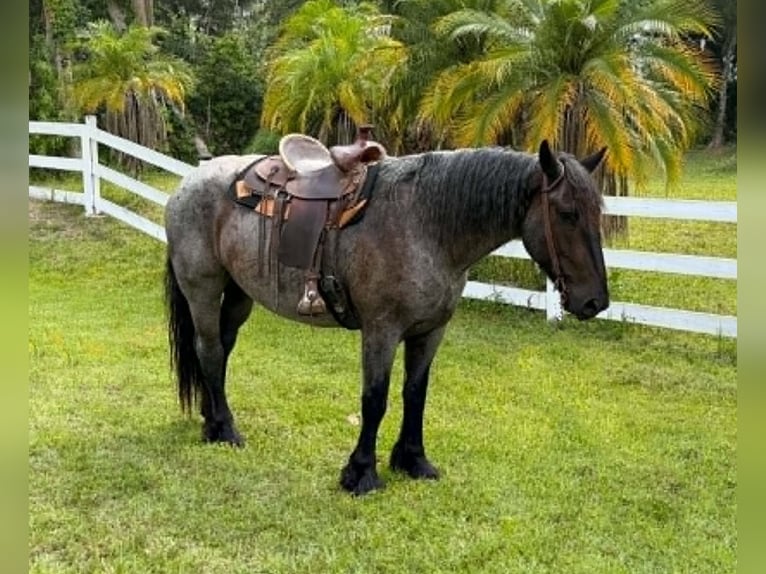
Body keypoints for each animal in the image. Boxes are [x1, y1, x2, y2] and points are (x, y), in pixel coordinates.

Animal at [163, 139, 609, 495]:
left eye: (597, 213)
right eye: (567, 213)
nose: (595, 302)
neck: (425, 224)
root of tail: (190, 180)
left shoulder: (430, 330)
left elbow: (416, 393)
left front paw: (413, 460)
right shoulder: (381, 330)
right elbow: (374, 398)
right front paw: (360, 473)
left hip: (240, 294)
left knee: (221, 348)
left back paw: (210, 418)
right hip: (203, 288)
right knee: (209, 350)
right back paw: (225, 429)